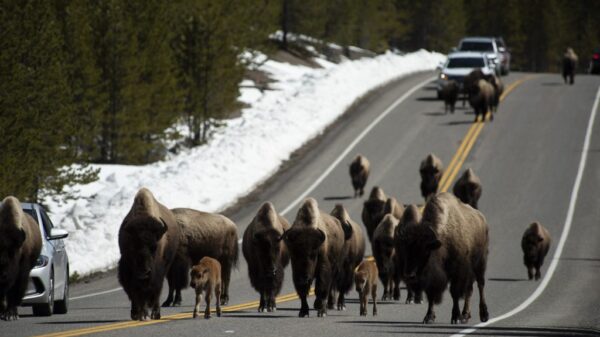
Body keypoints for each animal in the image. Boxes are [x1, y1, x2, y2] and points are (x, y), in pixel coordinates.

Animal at [118, 188, 179, 318]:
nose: (144, 272)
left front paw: (154, 313)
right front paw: (138, 314)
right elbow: (134, 291)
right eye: (133, 247)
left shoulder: (158, 273)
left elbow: (156, 290)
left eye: (154, 247)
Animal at [396, 193, 490, 324]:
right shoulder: (433, 280)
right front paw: (429, 317)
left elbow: (454, 293)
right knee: (469, 290)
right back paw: (465, 315)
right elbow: (431, 295)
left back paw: (483, 315)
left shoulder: (457, 273)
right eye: (404, 251)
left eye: (424, 250)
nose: (409, 275)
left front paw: (455, 317)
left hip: (480, 264)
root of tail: (482, 219)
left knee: (480, 285)